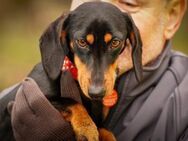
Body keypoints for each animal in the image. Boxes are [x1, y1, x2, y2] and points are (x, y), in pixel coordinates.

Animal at [39, 1, 142, 140]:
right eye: (82, 42)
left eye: (115, 42)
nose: (96, 93)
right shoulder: (41, 98)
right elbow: (72, 103)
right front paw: (86, 128)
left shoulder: (101, 124)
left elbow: (107, 132)